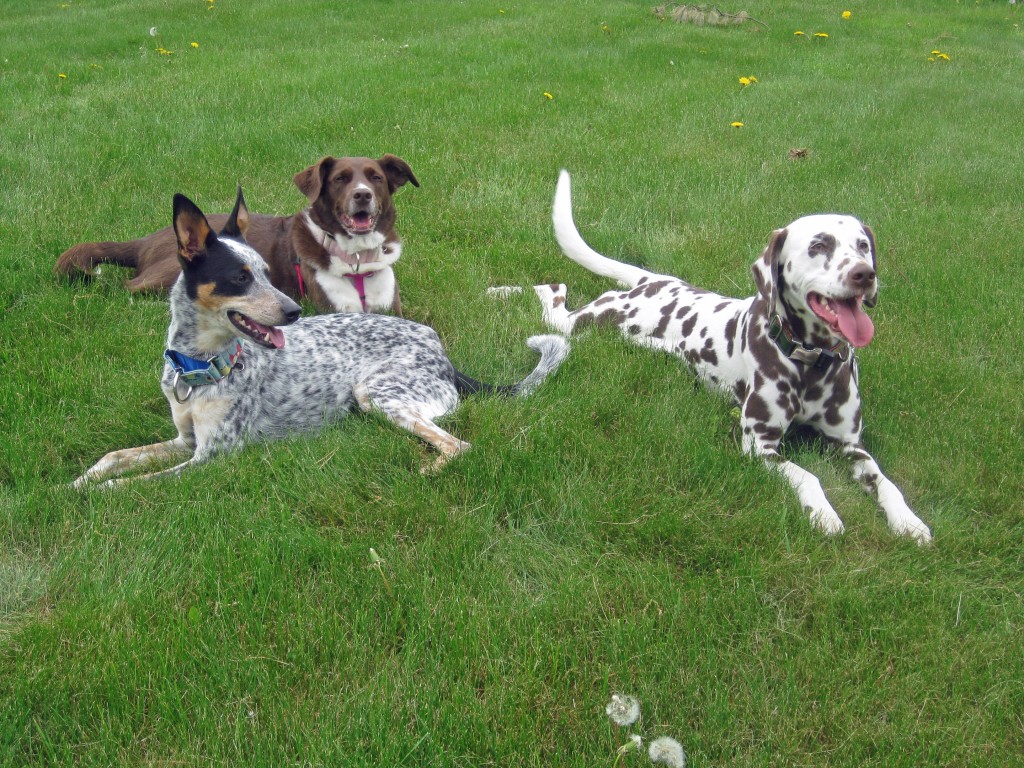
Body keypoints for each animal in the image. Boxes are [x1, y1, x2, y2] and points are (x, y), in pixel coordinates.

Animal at [52, 156, 415, 315]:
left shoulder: (391, 308)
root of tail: (147, 239)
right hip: (164, 276)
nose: (362, 195)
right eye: (340, 179)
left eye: (376, 177)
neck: (357, 261)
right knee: (127, 288)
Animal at [72, 189, 569, 489]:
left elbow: (125, 484)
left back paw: (424, 468)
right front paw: (80, 478)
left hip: (377, 393)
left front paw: (90, 495)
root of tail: (443, 353)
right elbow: (114, 458)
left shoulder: (209, 458)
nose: (294, 312)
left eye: (268, 273)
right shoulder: (185, 442)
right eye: (240, 276)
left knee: (458, 446)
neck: (199, 366)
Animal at [532, 171, 933, 544]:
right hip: (590, 320)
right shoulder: (759, 446)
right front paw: (823, 513)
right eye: (819, 245)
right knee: (554, 303)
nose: (865, 274)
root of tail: (653, 280)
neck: (810, 362)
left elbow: (886, 483)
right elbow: (808, 475)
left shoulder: (849, 445)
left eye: (863, 244)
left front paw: (908, 520)